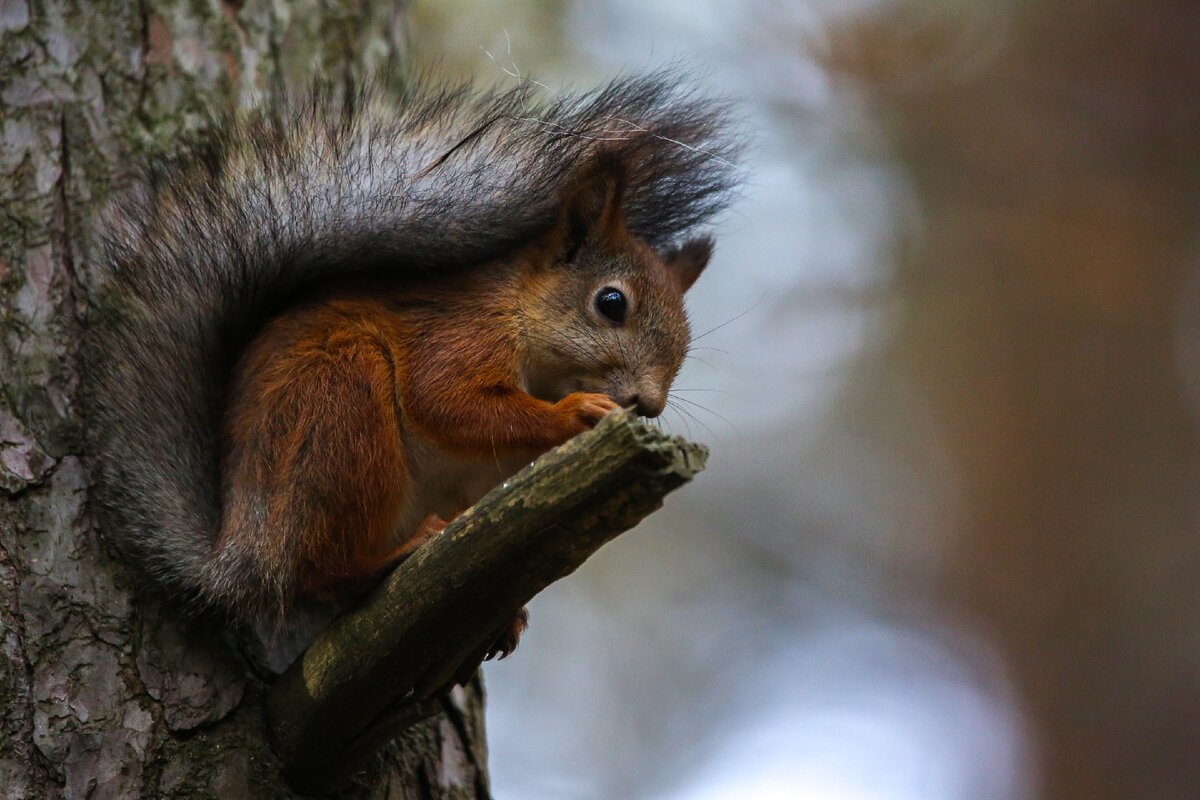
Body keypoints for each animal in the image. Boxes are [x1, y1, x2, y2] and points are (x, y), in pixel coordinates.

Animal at [84, 71, 734, 642]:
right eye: (610, 303)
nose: (649, 404)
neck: (522, 320)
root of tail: (240, 554)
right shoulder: (457, 334)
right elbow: (444, 400)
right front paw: (573, 413)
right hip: (339, 406)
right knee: (319, 575)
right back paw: (394, 554)